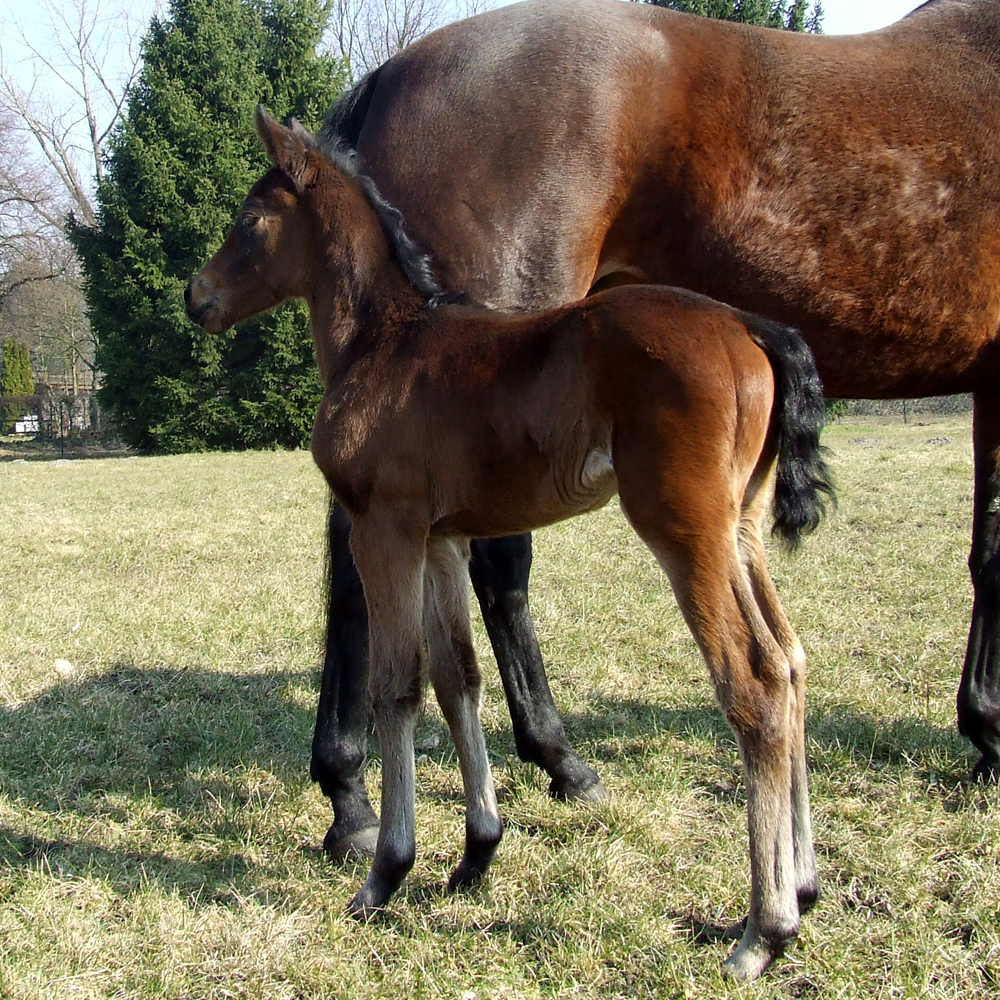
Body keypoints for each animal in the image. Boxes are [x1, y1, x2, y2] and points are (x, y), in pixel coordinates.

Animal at [184, 107, 832, 976]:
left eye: (251, 220)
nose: (198, 296)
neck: (384, 343)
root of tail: (750, 325)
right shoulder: (442, 541)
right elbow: (458, 678)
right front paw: (475, 855)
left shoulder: (386, 530)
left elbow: (397, 685)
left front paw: (385, 875)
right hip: (743, 530)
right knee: (790, 663)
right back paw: (802, 888)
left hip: (685, 529)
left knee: (753, 682)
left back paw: (762, 932)